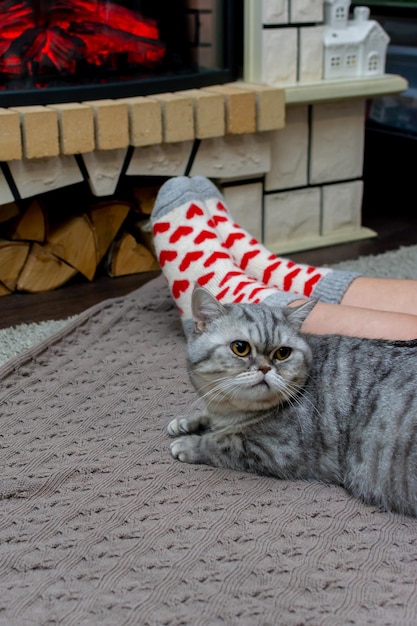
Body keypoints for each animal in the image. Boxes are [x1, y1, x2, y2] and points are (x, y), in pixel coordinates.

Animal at [167, 286, 416, 516]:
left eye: (282, 353)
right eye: (240, 348)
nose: (265, 368)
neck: (231, 412)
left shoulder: (276, 450)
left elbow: (220, 442)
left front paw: (189, 443)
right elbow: (207, 416)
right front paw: (186, 422)